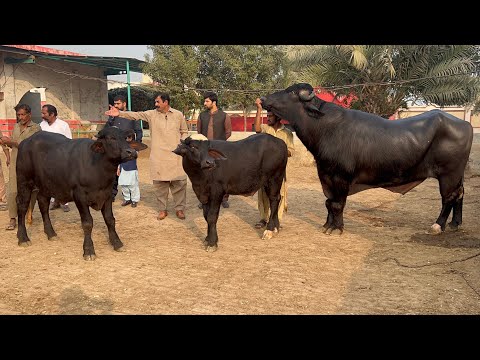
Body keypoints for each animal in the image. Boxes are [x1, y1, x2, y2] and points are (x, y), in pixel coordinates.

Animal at [15, 126, 147, 258]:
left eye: (125, 138)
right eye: (111, 138)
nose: (131, 152)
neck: (98, 168)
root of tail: (25, 142)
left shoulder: (107, 195)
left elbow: (110, 219)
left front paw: (117, 243)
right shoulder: (80, 196)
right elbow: (87, 223)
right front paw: (88, 250)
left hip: (45, 185)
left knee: (43, 204)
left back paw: (51, 233)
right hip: (24, 182)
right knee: (22, 206)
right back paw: (23, 238)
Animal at [260, 83, 474, 236]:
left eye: (291, 92)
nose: (263, 98)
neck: (324, 128)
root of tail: (464, 124)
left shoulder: (341, 177)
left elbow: (337, 204)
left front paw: (337, 228)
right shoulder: (326, 175)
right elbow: (329, 202)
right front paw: (327, 225)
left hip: (449, 174)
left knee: (449, 197)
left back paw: (438, 226)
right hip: (457, 175)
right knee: (460, 194)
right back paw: (455, 223)